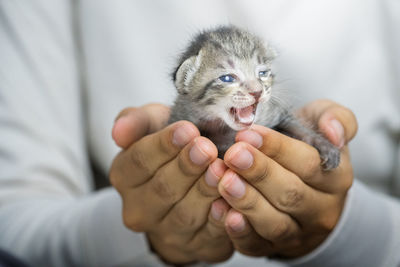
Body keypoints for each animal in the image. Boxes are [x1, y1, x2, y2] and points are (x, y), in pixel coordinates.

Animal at [167, 26, 340, 171]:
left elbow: (297, 126)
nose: (257, 91)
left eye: (262, 73)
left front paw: (324, 145)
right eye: (227, 78)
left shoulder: (275, 113)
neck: (227, 130)